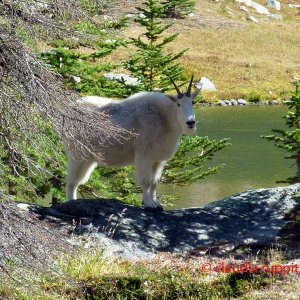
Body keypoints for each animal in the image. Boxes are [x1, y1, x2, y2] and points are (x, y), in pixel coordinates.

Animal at [66, 76, 202, 212]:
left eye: (193, 102)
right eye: (179, 104)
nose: (190, 122)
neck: (164, 118)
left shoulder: (158, 160)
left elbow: (154, 182)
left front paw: (156, 203)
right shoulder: (144, 156)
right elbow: (146, 181)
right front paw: (149, 203)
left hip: (88, 157)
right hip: (77, 153)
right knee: (71, 181)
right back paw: (71, 202)